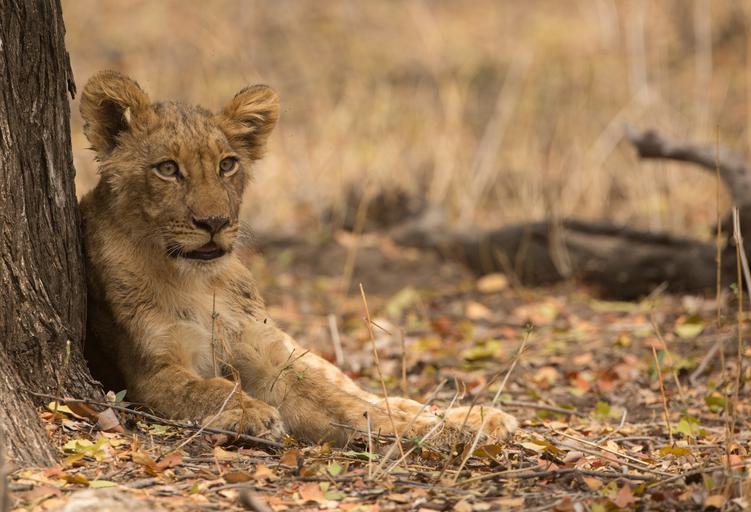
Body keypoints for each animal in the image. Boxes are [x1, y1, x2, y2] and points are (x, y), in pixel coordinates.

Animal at [78, 70, 518, 446]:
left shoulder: (265, 356)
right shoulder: (148, 372)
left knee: (362, 390)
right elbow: (207, 387)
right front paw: (251, 413)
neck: (196, 280)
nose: (215, 222)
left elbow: (345, 404)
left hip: (292, 347)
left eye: (227, 165)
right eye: (168, 169)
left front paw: (439, 431)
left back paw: (477, 417)